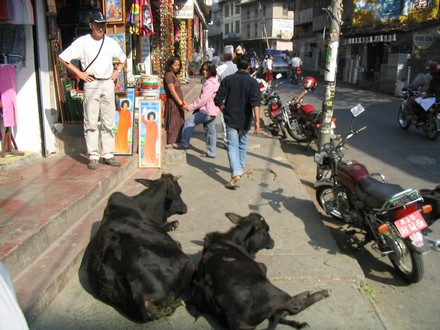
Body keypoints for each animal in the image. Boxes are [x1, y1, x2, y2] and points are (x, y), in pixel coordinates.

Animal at [187, 213, 328, 328]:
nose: (273, 242)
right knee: (293, 306)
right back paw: (320, 293)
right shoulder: (261, 266)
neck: (235, 240)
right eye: (265, 231)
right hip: (277, 294)